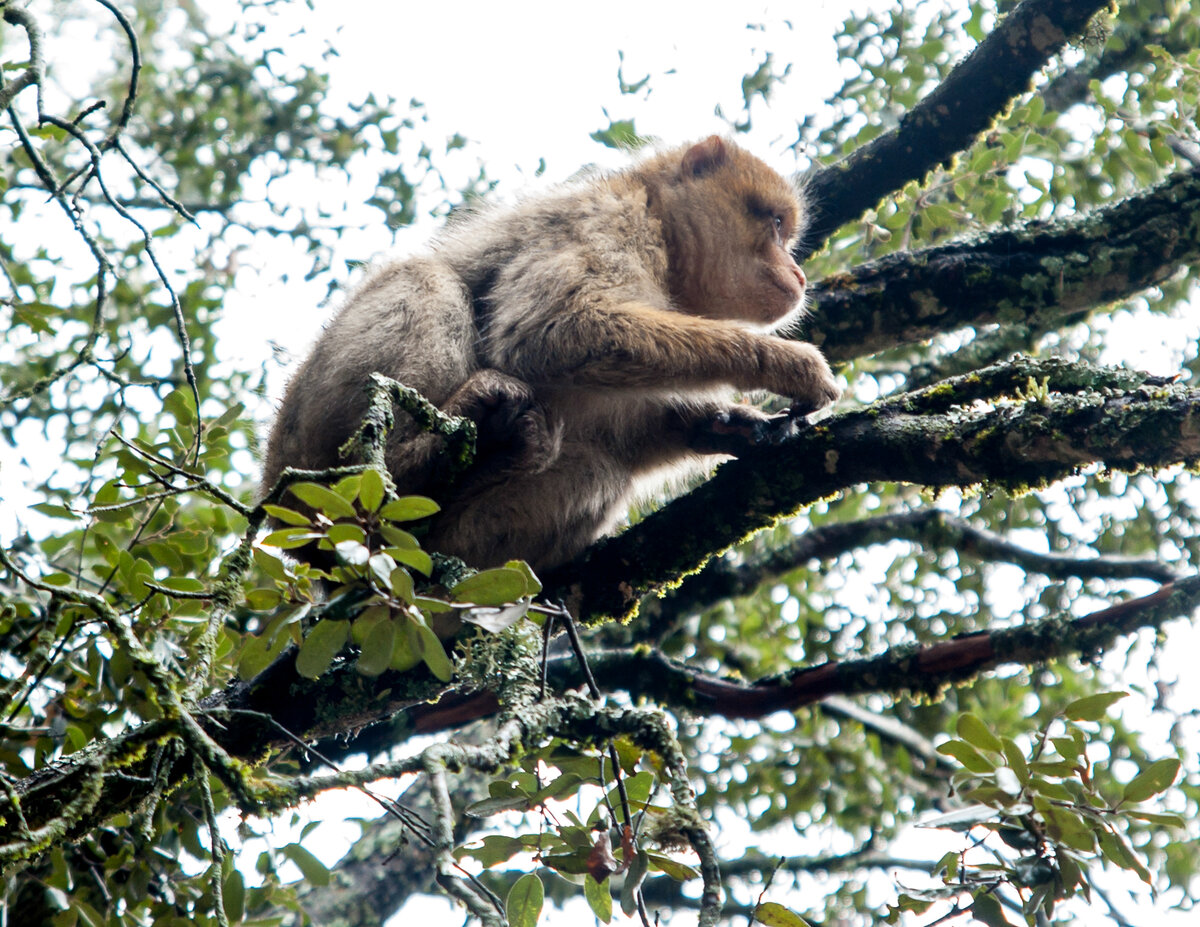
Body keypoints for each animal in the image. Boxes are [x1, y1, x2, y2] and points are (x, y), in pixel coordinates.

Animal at [264, 136, 840, 571]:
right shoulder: (607, 222)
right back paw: (407, 469)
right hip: (308, 445)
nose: (797, 273)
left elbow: (629, 431)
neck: (664, 239)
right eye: (775, 225)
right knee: (427, 281)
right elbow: (551, 330)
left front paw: (725, 424)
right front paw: (787, 364)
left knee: (601, 471)